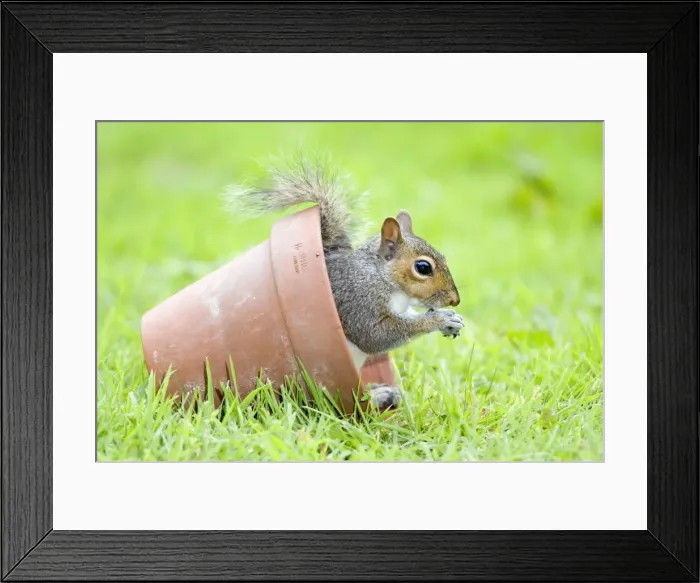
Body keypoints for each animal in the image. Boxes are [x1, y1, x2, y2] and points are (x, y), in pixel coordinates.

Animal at [224, 158, 464, 410]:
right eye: (423, 267)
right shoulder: (359, 302)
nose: (455, 300)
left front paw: (453, 320)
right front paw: (439, 320)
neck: (381, 278)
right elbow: (376, 336)